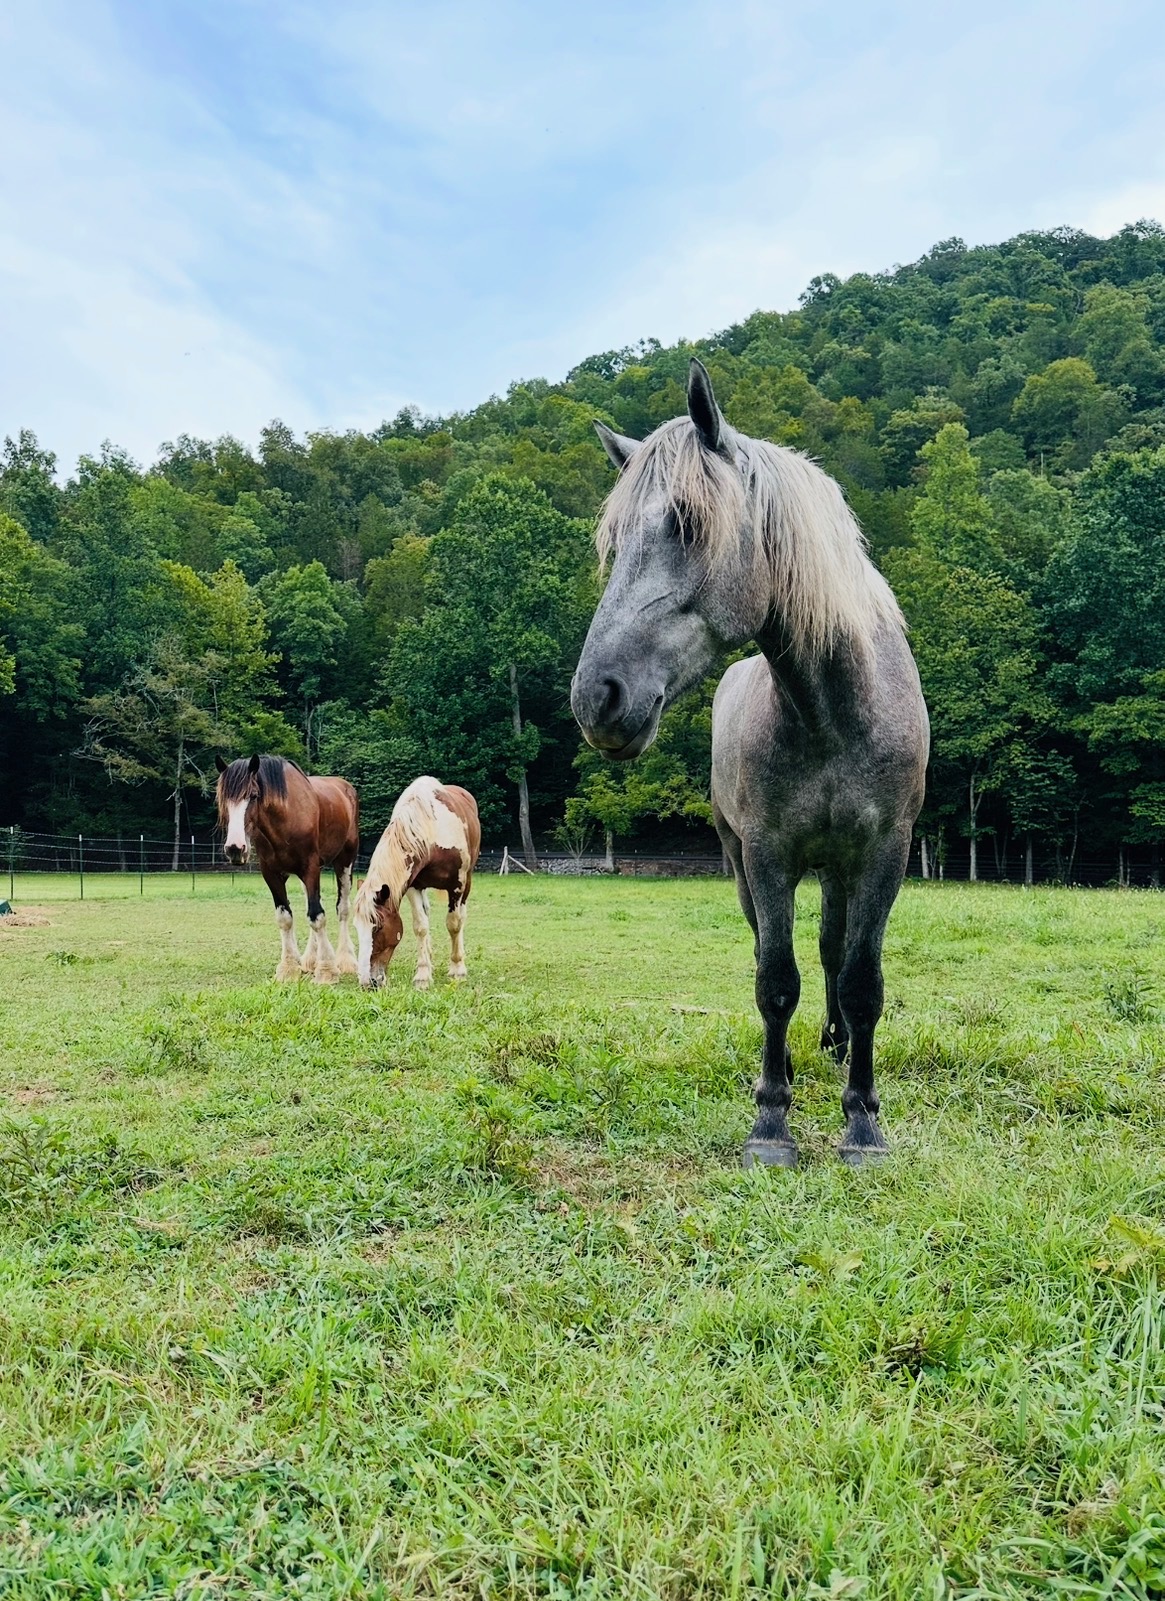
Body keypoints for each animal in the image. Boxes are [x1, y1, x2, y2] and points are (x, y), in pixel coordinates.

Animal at [215, 754, 360, 983]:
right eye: (222, 799)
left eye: (253, 795)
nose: (235, 848)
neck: (285, 819)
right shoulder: (272, 874)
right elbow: (286, 918)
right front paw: (289, 968)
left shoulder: (310, 868)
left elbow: (317, 916)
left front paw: (326, 970)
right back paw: (310, 959)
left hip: (345, 861)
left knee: (342, 908)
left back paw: (346, 961)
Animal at [353, 776, 481, 990]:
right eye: (356, 927)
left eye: (378, 927)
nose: (367, 981)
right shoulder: (414, 885)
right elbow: (420, 926)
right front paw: (423, 975)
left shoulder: (457, 884)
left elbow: (454, 924)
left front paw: (457, 970)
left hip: (467, 884)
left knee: (461, 918)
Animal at [571, 359, 929, 1167]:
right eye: (614, 539)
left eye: (683, 522)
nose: (595, 698)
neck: (833, 711)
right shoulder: (766, 855)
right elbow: (774, 979)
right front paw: (772, 1120)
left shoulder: (883, 853)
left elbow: (861, 980)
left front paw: (862, 1122)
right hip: (744, 865)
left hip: (837, 868)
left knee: (832, 952)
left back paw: (834, 1045)